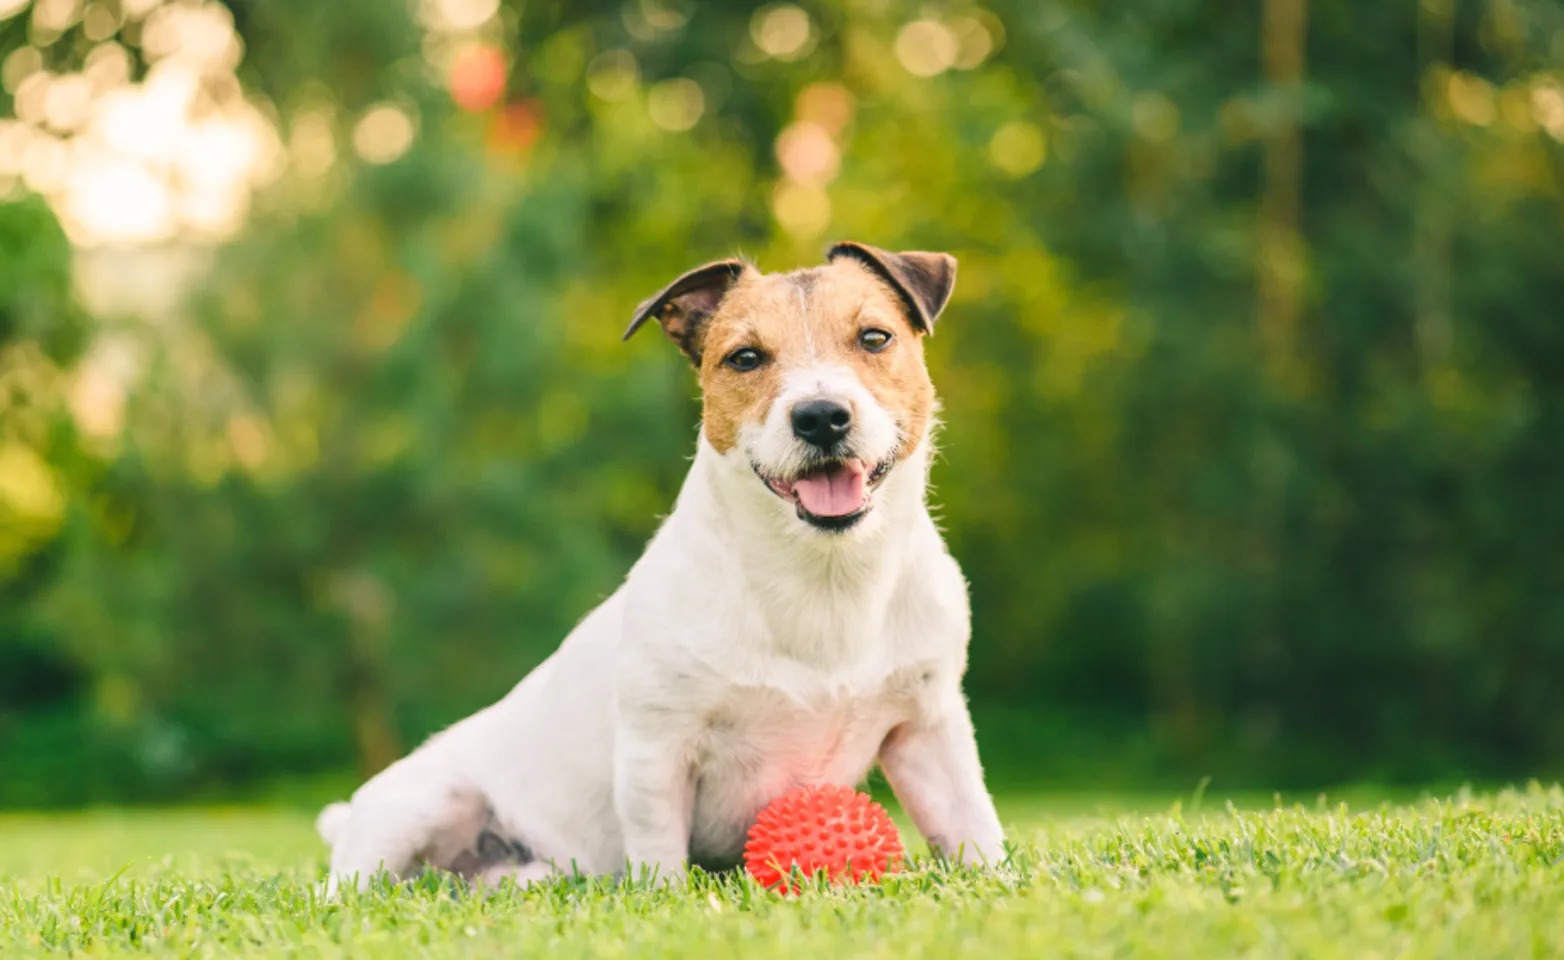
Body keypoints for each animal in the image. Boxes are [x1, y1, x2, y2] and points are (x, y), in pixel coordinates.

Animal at [317, 240, 1007, 894]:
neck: (823, 577)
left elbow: (974, 826)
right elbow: (659, 857)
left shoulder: (929, 730)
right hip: (423, 804)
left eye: (874, 338)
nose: (820, 416)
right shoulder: (658, 749)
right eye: (745, 358)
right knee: (346, 886)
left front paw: (998, 881)